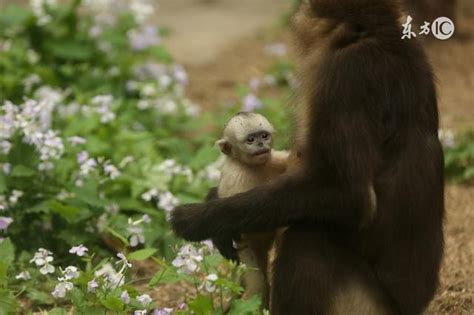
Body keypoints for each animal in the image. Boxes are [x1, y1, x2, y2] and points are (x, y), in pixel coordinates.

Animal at [216, 112, 288, 304]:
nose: (261, 144)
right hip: (246, 249)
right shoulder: (234, 177)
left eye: (264, 136)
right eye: (250, 140)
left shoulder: (274, 159)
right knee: (258, 284)